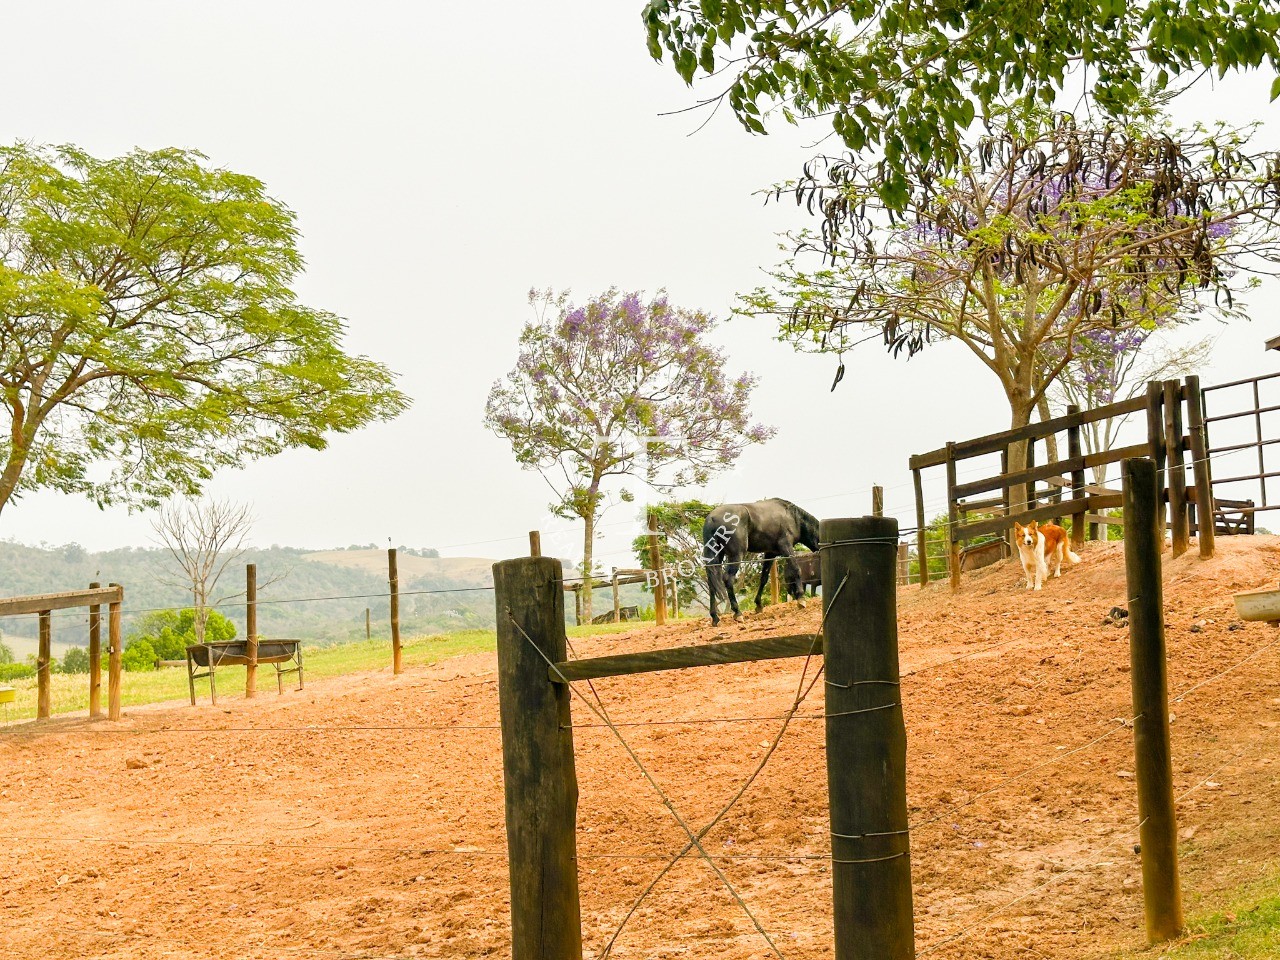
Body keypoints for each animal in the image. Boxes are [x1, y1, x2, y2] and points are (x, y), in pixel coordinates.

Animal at [701, 499, 819, 627]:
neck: (793, 517)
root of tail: (711, 518)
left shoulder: (770, 553)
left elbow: (764, 578)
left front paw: (758, 605)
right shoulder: (786, 547)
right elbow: (796, 569)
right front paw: (801, 598)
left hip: (717, 555)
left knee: (712, 582)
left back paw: (715, 617)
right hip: (736, 555)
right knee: (728, 579)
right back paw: (738, 613)